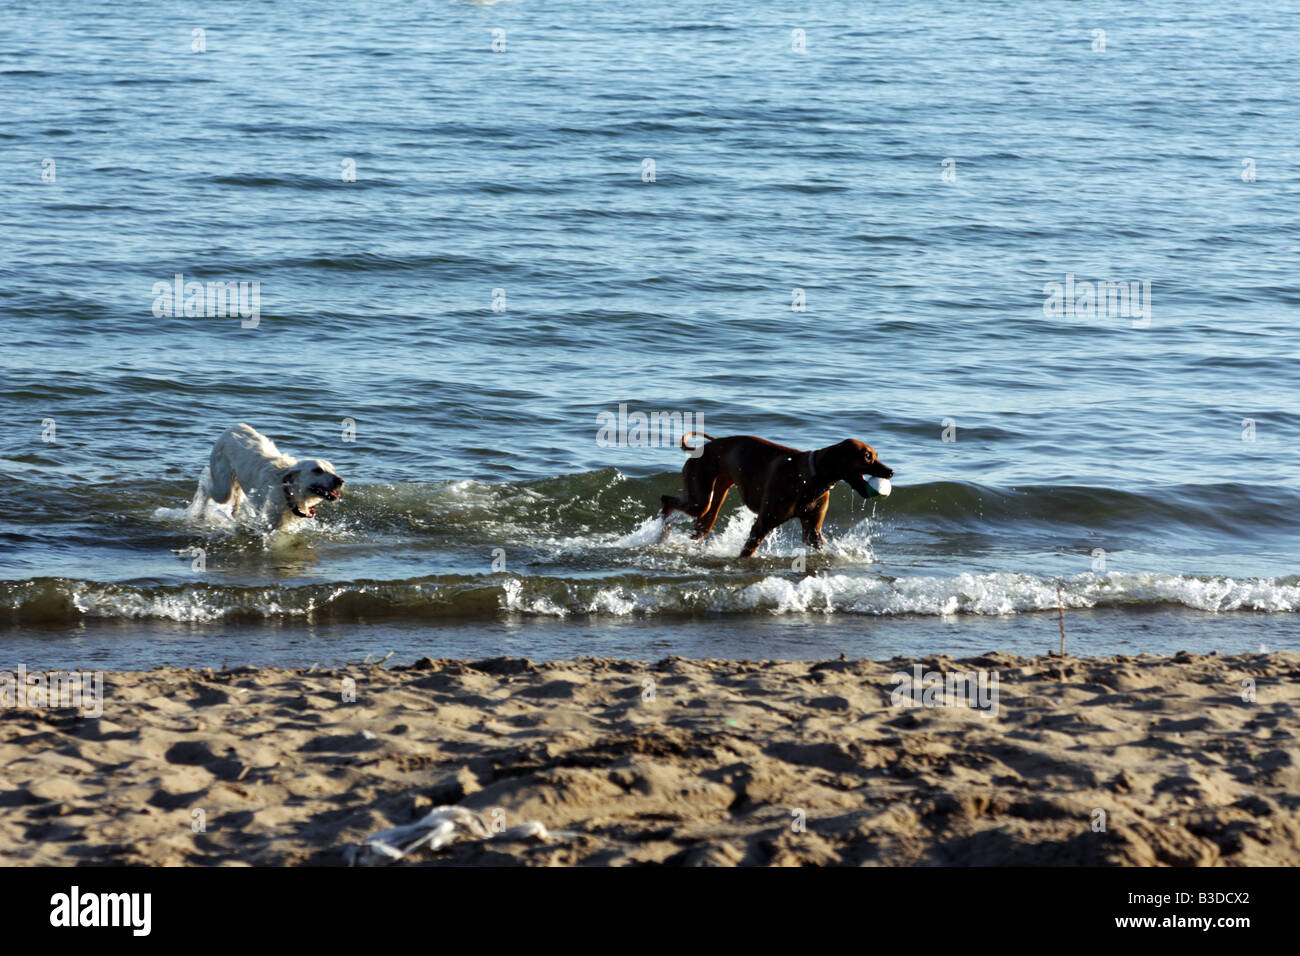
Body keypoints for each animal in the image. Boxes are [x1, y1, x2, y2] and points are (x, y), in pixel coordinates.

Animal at [202, 426, 345, 530]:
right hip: (223, 491)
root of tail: (232, 428)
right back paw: (201, 512)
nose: (340, 481)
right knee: (207, 489)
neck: (287, 490)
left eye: (333, 470)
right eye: (317, 470)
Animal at [660, 431, 894, 556]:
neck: (811, 476)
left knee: (700, 525)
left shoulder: (812, 531)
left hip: (710, 505)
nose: (891, 471)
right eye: (867, 456)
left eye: (876, 454)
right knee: (666, 500)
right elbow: (746, 552)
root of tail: (706, 446)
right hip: (700, 500)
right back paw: (662, 531)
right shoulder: (762, 525)